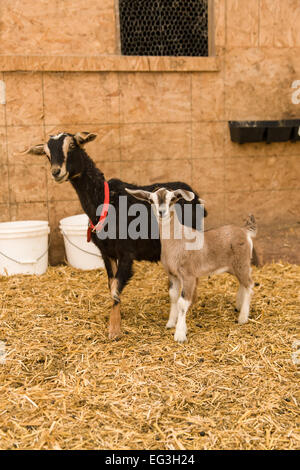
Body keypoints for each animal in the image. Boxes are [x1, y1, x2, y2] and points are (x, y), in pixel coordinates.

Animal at [24, 131, 206, 338]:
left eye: (72, 145)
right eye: (46, 154)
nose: (56, 172)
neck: (104, 202)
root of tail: (196, 196)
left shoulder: (127, 253)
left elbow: (115, 288)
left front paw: (114, 329)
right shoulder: (106, 253)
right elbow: (111, 284)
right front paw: (117, 317)